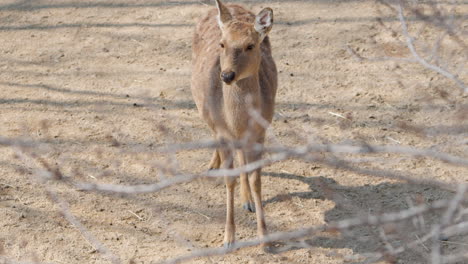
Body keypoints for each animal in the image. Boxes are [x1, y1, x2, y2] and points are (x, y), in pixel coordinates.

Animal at [191, 0, 278, 252]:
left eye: (251, 45)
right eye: (222, 44)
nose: (227, 75)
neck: (236, 120)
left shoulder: (261, 132)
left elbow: (256, 180)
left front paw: (265, 239)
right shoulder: (222, 131)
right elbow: (229, 179)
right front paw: (228, 239)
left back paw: (246, 200)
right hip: (204, 110)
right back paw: (213, 165)